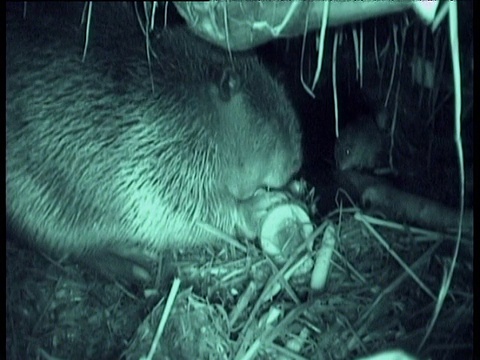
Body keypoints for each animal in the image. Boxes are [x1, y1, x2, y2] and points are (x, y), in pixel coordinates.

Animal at [5, 14, 302, 278]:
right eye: (269, 121)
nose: (297, 162)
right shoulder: (160, 150)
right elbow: (179, 210)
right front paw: (259, 206)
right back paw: (133, 264)